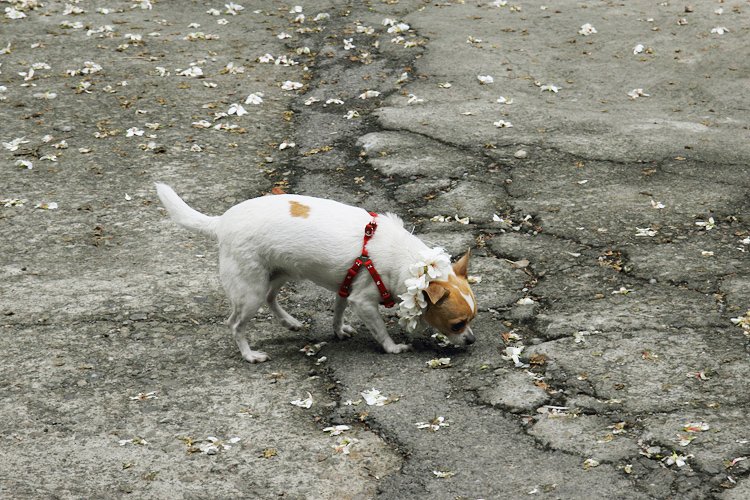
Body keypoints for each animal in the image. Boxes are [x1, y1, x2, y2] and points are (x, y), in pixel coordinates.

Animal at [156, 184, 478, 364]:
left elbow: (338, 311)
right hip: (250, 291)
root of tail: (221, 222)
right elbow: (379, 330)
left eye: (472, 321)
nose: (472, 341)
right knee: (235, 324)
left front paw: (339, 330)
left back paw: (290, 322)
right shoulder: (363, 301)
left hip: (277, 274)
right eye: (457, 324)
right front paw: (393, 347)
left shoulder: (347, 286)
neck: (412, 264)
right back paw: (249, 355)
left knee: (271, 298)